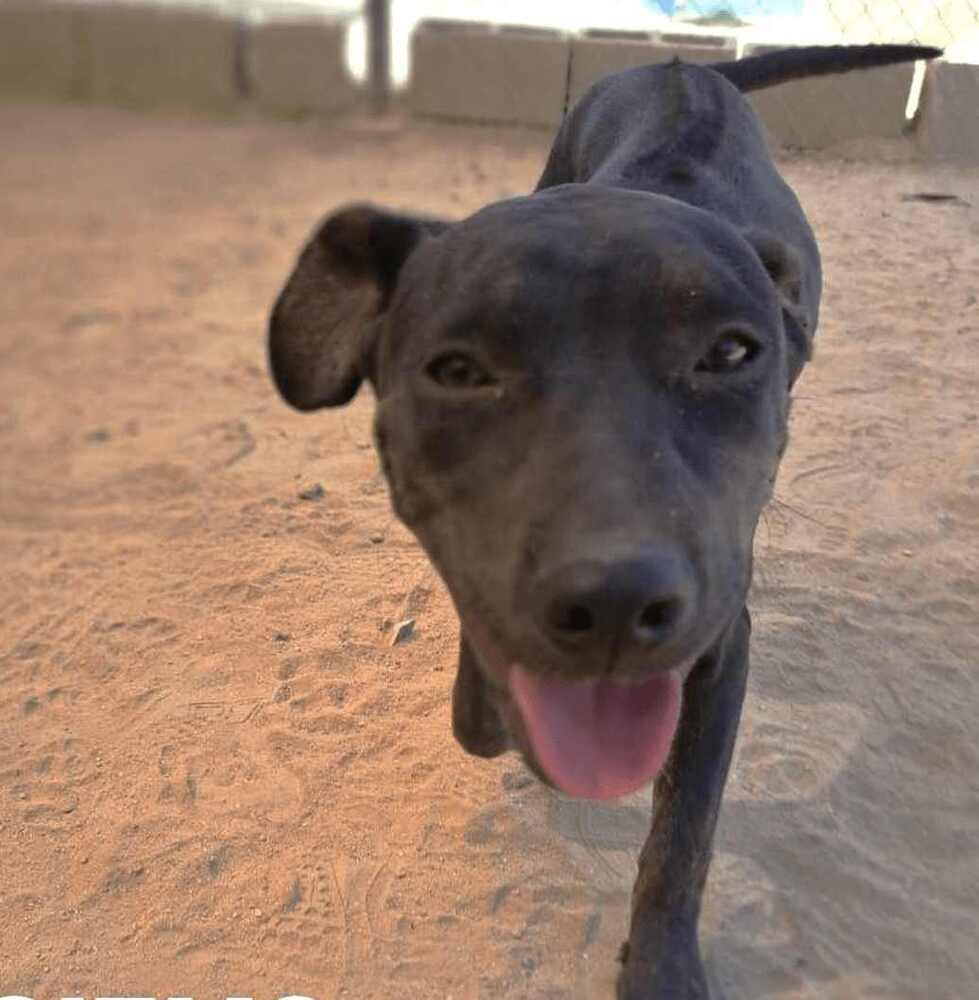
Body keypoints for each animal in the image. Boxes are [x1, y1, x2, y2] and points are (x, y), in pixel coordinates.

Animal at [268, 47, 940, 1000]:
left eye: (729, 352)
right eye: (458, 369)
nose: (615, 602)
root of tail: (684, 65)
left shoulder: (719, 646)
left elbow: (682, 837)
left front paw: (661, 968)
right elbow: (485, 701)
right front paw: (489, 703)